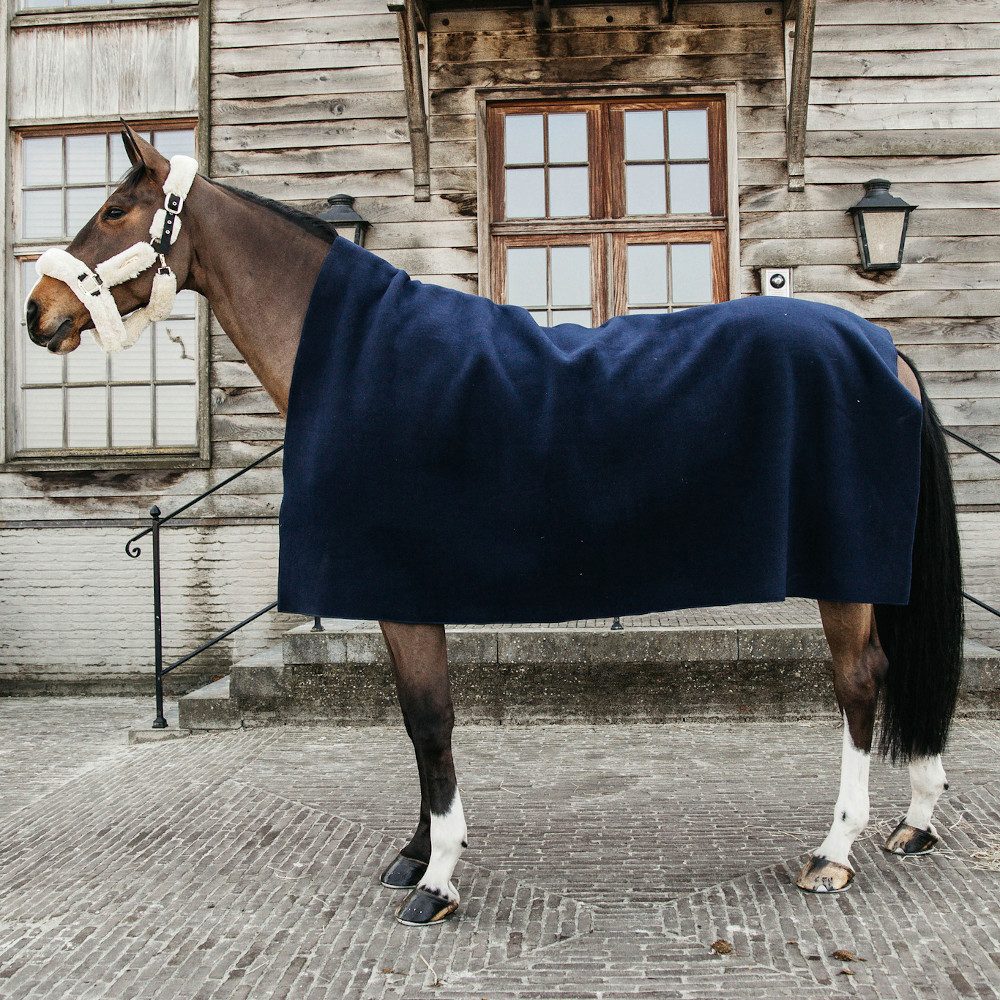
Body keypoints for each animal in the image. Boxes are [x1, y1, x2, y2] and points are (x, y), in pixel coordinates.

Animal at [26, 124, 964, 926]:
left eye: (113, 213)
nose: (39, 311)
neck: (358, 360)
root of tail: (881, 347)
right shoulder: (400, 597)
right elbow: (416, 724)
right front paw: (416, 851)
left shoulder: (407, 595)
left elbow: (430, 720)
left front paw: (437, 877)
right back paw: (915, 821)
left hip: (843, 580)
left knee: (860, 684)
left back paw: (834, 852)